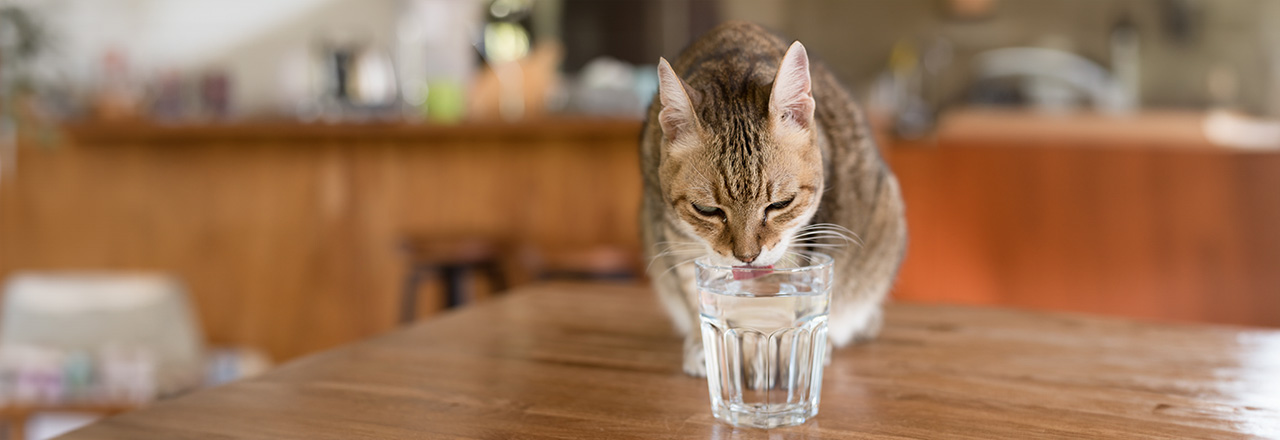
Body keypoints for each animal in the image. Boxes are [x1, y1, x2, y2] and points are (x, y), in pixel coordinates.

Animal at [634, 20, 906, 376]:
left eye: (780, 204)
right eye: (706, 209)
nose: (747, 257)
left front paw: (775, 351)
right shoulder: (673, 236)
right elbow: (695, 295)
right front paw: (711, 347)